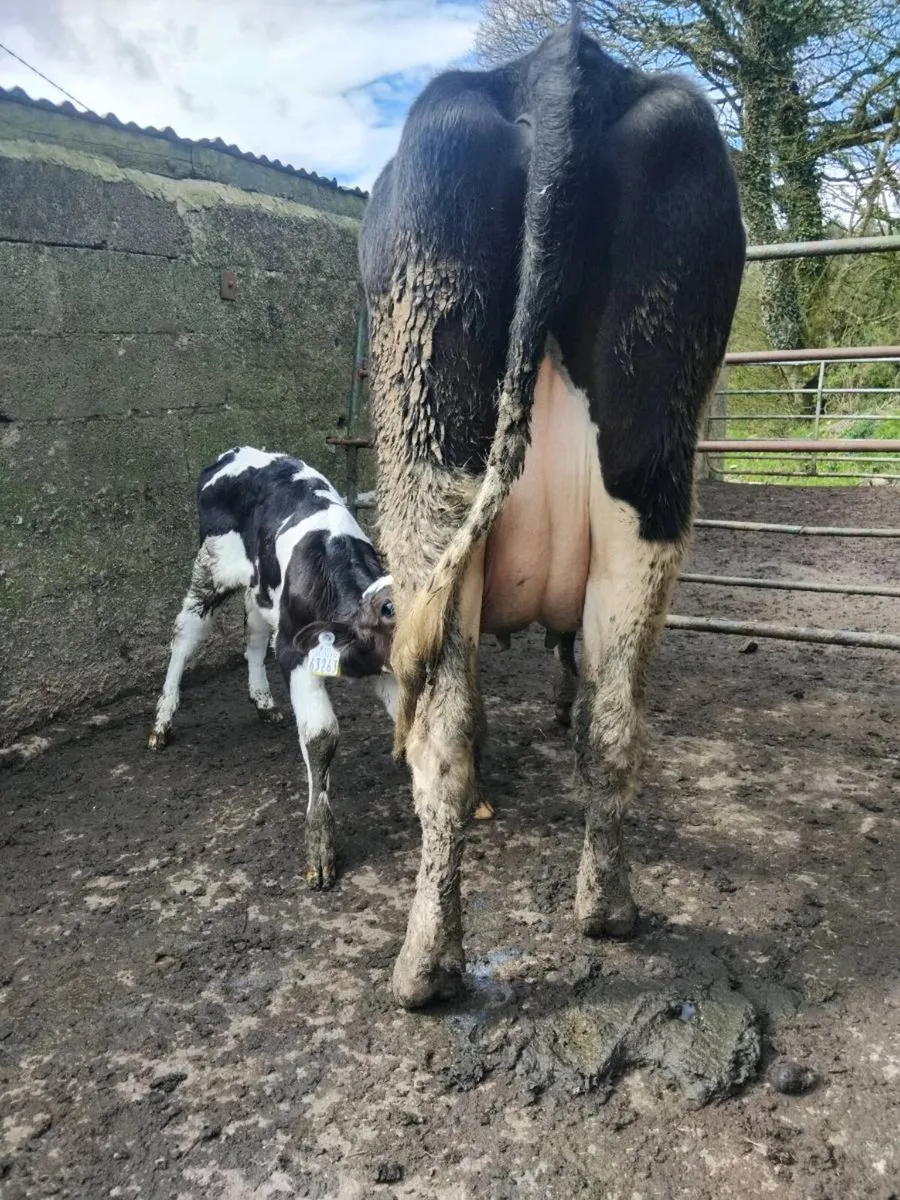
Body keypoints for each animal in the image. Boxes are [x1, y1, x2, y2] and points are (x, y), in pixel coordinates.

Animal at [147, 446, 397, 889]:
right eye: (388, 611)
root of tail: (233, 452)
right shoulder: (295, 653)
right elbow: (321, 736)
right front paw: (320, 847)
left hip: (259, 589)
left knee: (253, 636)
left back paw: (263, 701)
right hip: (210, 568)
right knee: (184, 636)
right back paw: (163, 721)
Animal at [359, 15, 746, 1008]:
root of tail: (559, 66)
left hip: (426, 462)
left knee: (444, 742)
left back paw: (424, 967)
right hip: (649, 486)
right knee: (612, 726)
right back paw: (605, 911)